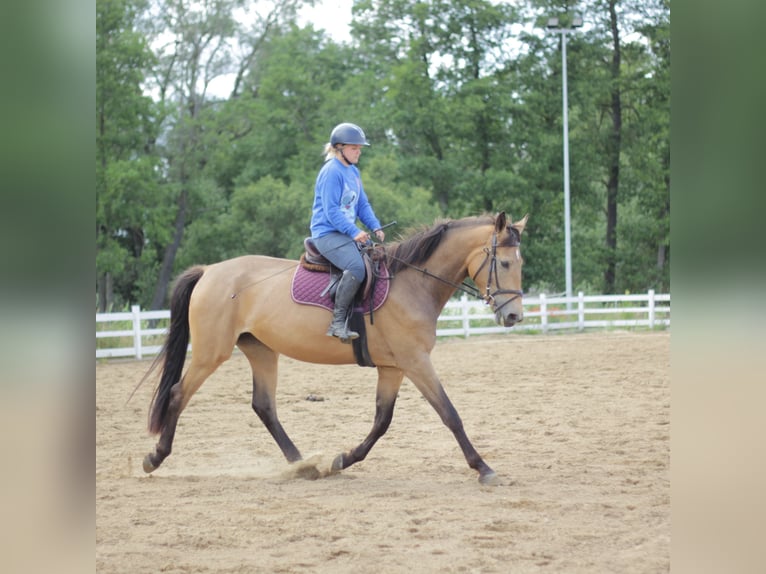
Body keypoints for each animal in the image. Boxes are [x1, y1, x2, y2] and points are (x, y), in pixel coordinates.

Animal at [142, 212, 528, 486]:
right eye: (505, 263)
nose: (514, 316)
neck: (412, 283)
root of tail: (209, 271)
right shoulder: (415, 362)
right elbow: (450, 414)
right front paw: (483, 467)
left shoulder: (394, 368)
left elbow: (382, 421)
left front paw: (343, 459)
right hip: (211, 353)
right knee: (178, 394)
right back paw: (155, 457)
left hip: (262, 351)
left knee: (264, 406)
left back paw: (302, 465)